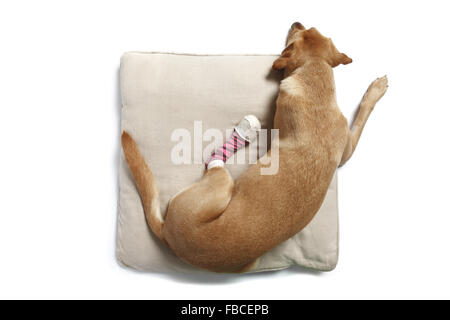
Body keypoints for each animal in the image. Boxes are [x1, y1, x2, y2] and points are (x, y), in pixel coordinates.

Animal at [121, 23, 388, 272]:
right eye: (308, 29)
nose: (296, 21)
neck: (313, 78)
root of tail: (169, 235)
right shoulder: (346, 149)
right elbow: (360, 119)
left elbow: (362, 115)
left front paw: (375, 91)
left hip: (224, 187)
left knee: (213, 162)